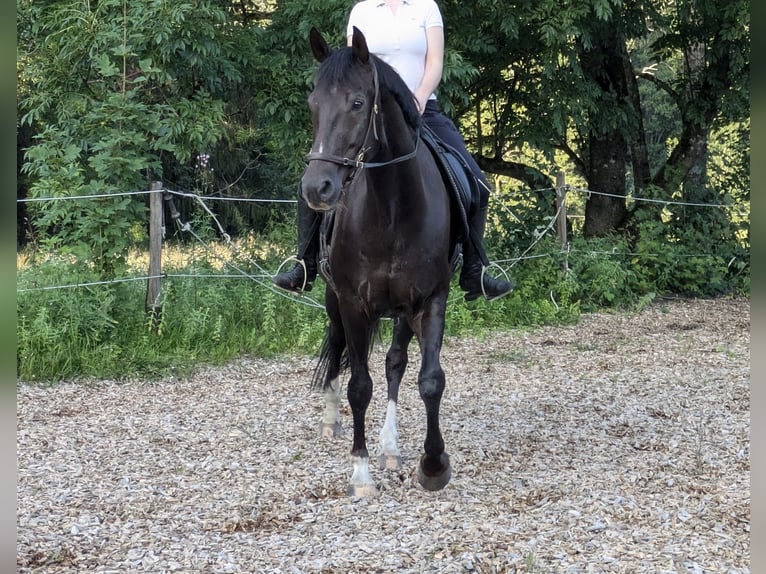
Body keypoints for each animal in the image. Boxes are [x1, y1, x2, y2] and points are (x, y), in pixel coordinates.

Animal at [300, 25, 460, 496]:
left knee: (394, 364)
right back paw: (331, 420)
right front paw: (360, 472)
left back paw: (390, 446)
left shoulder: (430, 298)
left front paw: (433, 464)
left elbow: (428, 379)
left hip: (402, 310)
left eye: (357, 103)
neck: (391, 205)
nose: (317, 188)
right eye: (313, 103)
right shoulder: (353, 303)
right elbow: (358, 385)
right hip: (335, 302)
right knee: (337, 348)